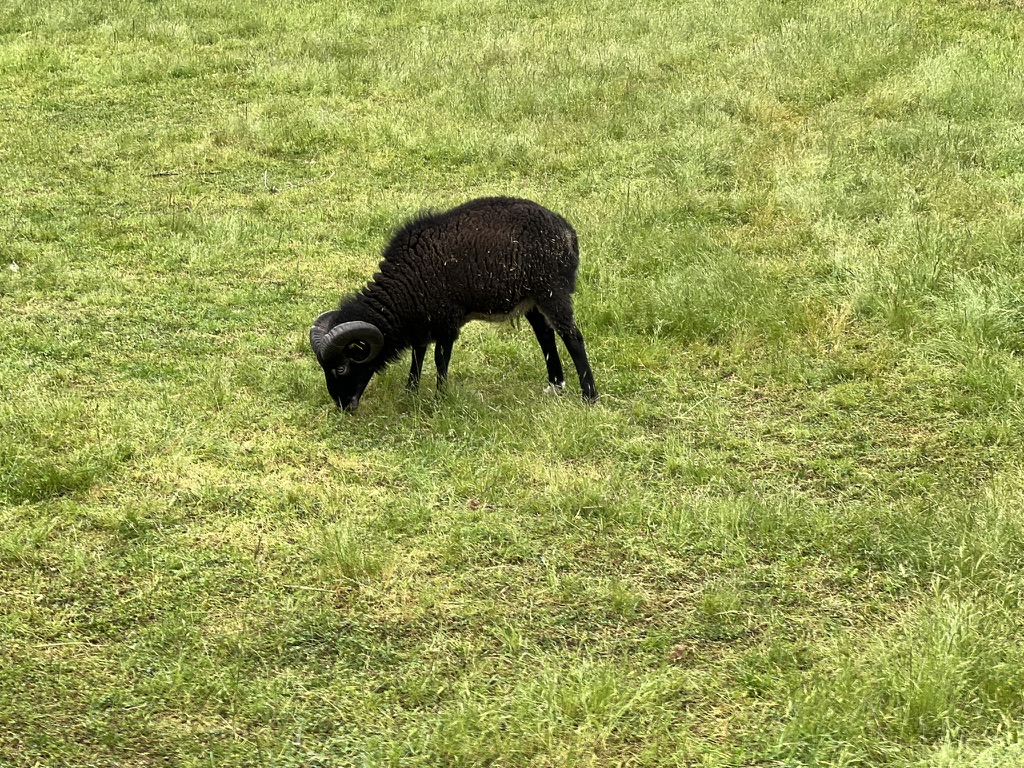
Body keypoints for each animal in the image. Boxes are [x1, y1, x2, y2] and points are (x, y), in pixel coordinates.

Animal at [309, 196, 598, 412]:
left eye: (341, 367)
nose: (344, 406)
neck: (405, 285)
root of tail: (568, 232)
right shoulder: (423, 318)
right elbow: (418, 353)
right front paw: (410, 391)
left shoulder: (446, 320)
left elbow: (440, 359)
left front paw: (439, 399)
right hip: (531, 299)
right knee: (545, 335)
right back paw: (555, 385)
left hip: (552, 290)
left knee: (572, 337)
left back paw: (590, 396)